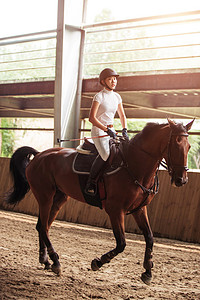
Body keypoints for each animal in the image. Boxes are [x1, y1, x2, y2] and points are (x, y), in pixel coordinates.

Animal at [5, 119, 194, 284]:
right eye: (176, 144)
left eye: (189, 146)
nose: (182, 180)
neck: (135, 165)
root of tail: (39, 155)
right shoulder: (115, 210)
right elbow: (121, 243)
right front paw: (98, 262)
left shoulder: (140, 209)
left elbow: (149, 237)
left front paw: (147, 271)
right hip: (45, 196)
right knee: (43, 227)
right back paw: (56, 262)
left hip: (59, 198)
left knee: (42, 226)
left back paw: (45, 261)